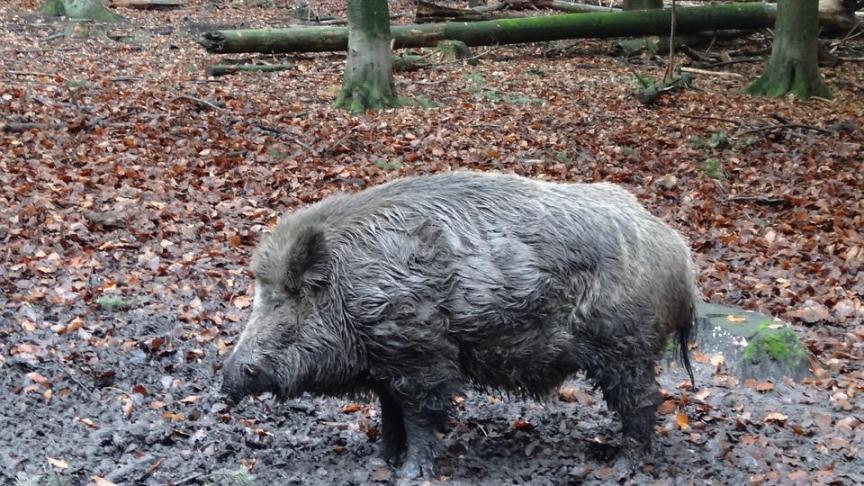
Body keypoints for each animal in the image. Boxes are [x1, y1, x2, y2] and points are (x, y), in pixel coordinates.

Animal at [221, 171, 697, 479]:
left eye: (286, 299)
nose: (227, 378)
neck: (350, 290)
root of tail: (679, 252)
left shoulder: (421, 354)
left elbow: (419, 415)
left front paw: (410, 473)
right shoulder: (386, 364)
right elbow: (390, 414)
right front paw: (379, 462)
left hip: (625, 346)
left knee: (643, 401)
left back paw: (621, 467)